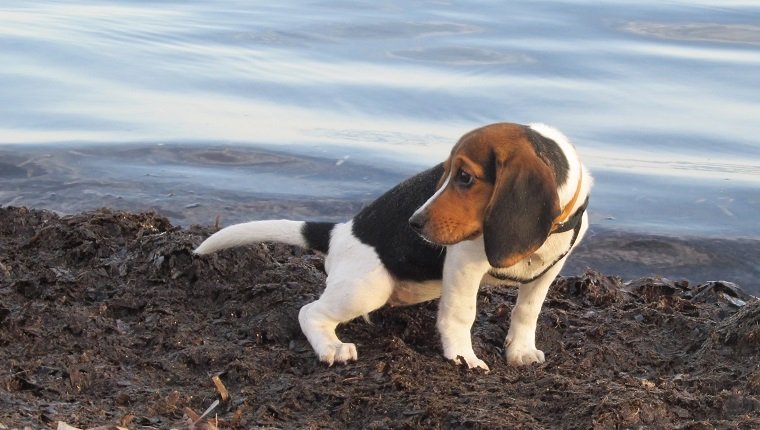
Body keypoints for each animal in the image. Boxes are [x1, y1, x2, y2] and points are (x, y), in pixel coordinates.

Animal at [193, 122, 592, 370]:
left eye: (465, 177)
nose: (413, 223)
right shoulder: (464, 264)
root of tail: (339, 232)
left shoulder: (550, 271)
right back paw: (332, 347)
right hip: (368, 287)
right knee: (310, 312)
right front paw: (463, 358)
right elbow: (461, 314)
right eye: (444, 173)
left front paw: (520, 352)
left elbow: (527, 312)